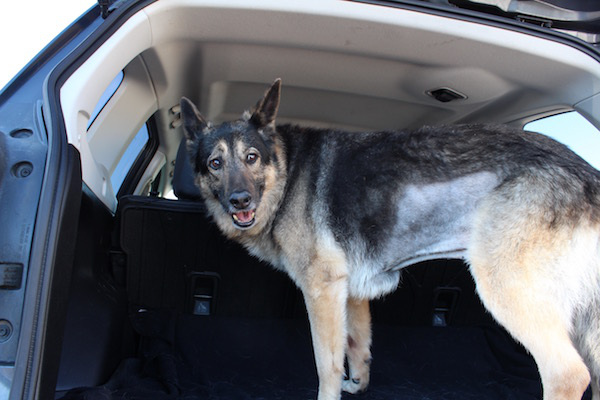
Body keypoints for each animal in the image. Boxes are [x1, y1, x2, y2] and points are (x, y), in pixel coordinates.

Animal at [180, 79, 600, 400]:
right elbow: (358, 347)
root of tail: (586, 175)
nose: (240, 201)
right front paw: (358, 385)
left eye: (251, 157)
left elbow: (326, 364)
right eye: (215, 164)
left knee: (568, 374)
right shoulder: (351, 293)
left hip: (505, 288)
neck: (288, 173)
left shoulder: (322, 291)